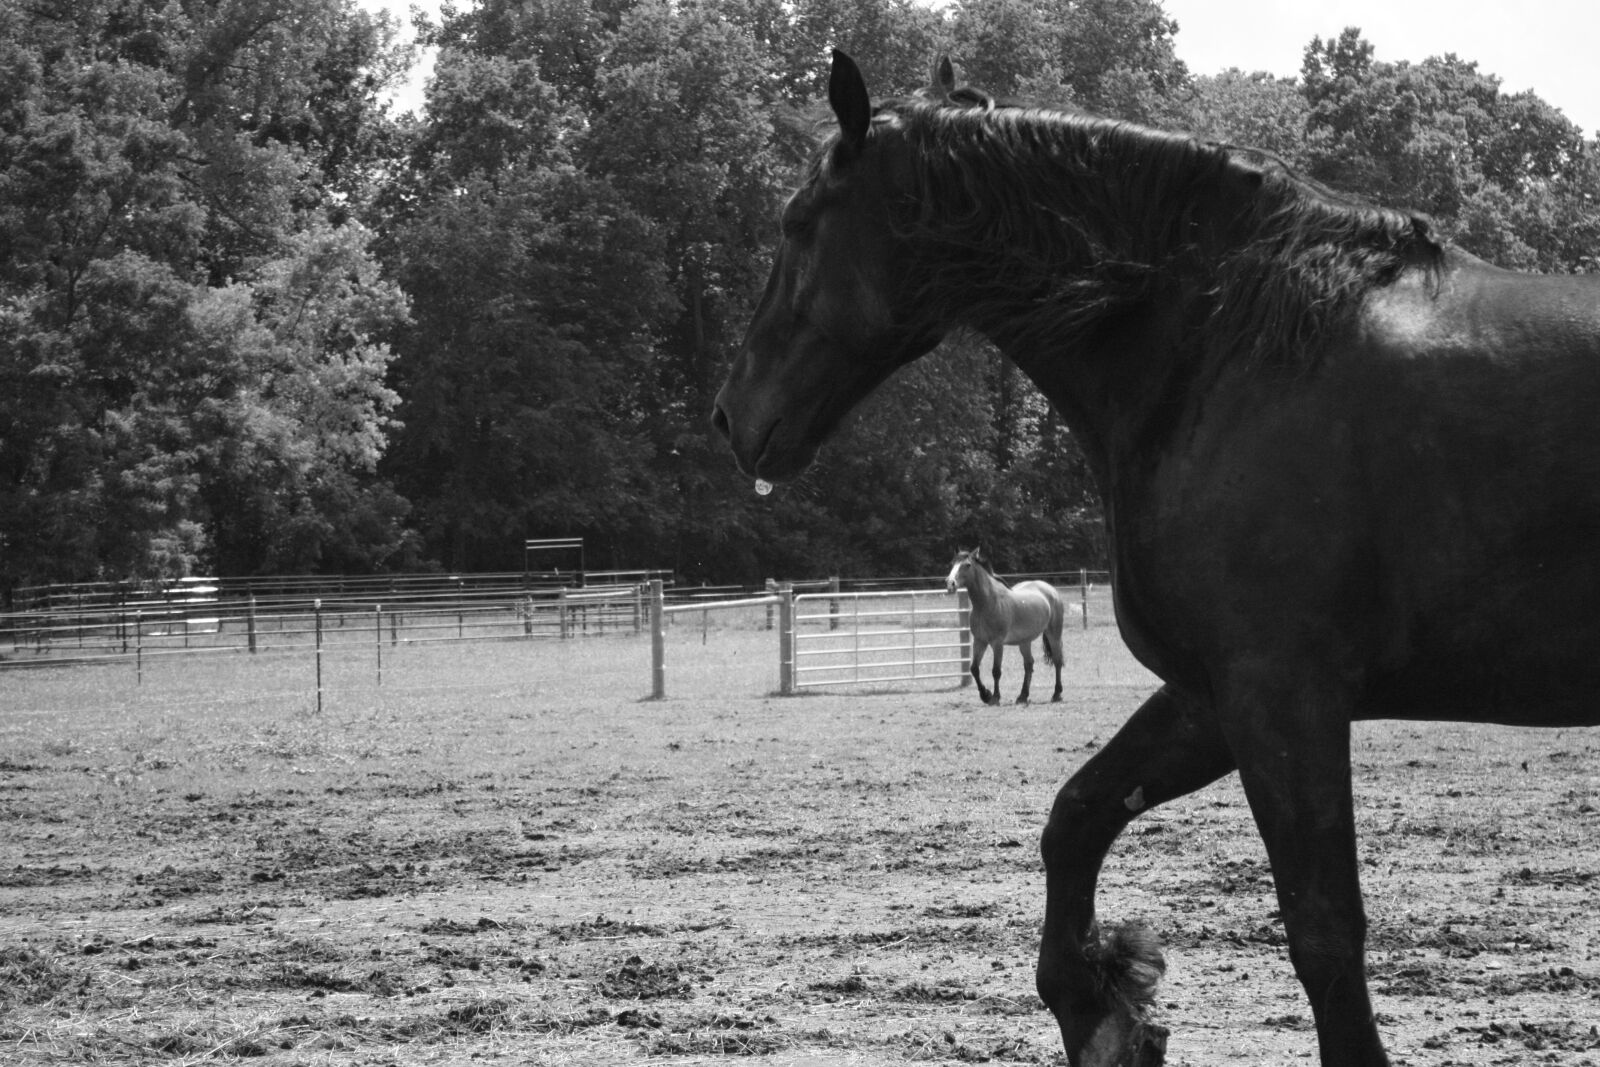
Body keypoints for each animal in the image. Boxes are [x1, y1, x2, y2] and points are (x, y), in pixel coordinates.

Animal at [946, 547, 1065, 704]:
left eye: (967, 565)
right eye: (952, 563)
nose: (950, 584)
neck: (987, 603)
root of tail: (1051, 590)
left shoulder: (997, 643)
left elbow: (996, 671)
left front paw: (995, 697)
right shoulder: (980, 641)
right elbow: (974, 669)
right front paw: (985, 695)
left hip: (1054, 634)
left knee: (1057, 661)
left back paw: (1056, 694)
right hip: (1024, 641)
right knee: (1029, 664)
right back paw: (1022, 696)